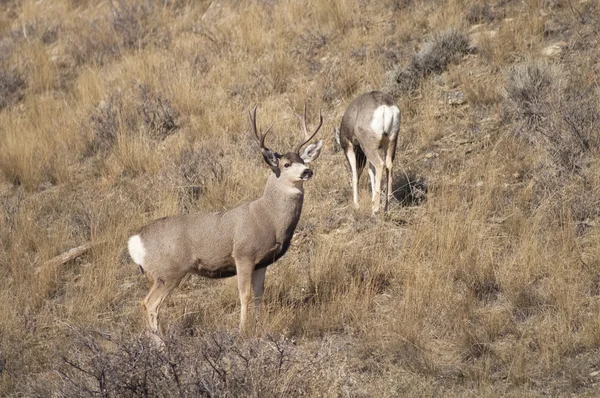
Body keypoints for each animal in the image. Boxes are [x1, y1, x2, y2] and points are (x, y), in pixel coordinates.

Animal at [127, 105, 324, 336]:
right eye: (286, 164)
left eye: (303, 160)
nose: (307, 171)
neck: (269, 217)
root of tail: (134, 240)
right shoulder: (243, 254)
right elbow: (244, 294)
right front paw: (242, 331)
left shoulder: (262, 262)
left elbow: (259, 295)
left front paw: (258, 326)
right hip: (168, 271)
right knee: (149, 303)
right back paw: (161, 343)